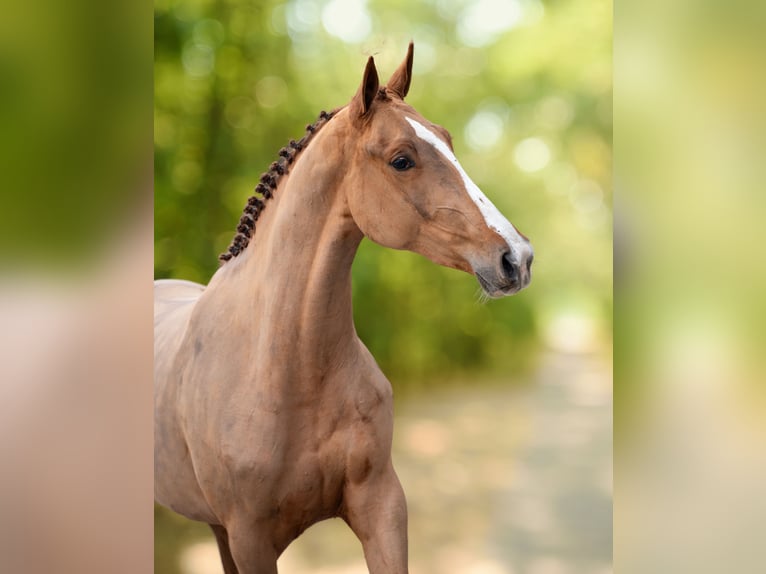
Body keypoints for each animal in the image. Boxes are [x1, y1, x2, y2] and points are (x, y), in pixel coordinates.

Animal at [156, 45, 536, 574]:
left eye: (447, 140)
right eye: (402, 160)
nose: (516, 257)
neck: (285, 367)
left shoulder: (381, 506)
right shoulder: (251, 538)